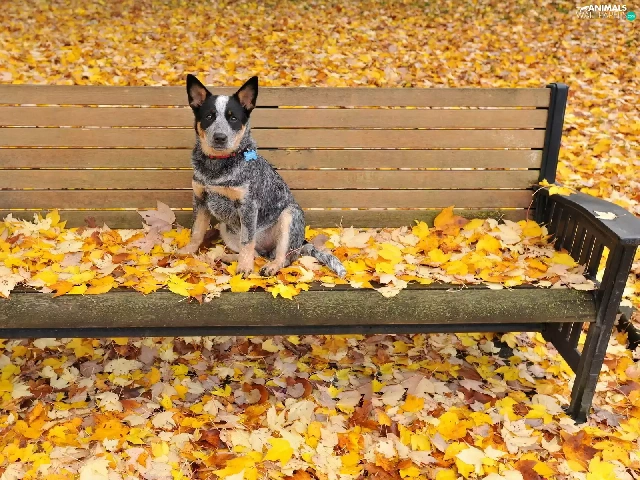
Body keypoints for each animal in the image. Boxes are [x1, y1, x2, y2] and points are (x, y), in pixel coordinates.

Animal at [179, 74, 346, 279]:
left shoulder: (248, 206)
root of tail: (302, 244)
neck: (217, 167)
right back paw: (229, 257)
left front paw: (244, 268)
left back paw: (271, 266)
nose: (220, 137)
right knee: (257, 254)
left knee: (283, 257)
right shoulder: (201, 200)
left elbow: (247, 242)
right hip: (225, 227)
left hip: (289, 217)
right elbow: (196, 231)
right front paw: (187, 252)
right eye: (209, 116)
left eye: (233, 118)